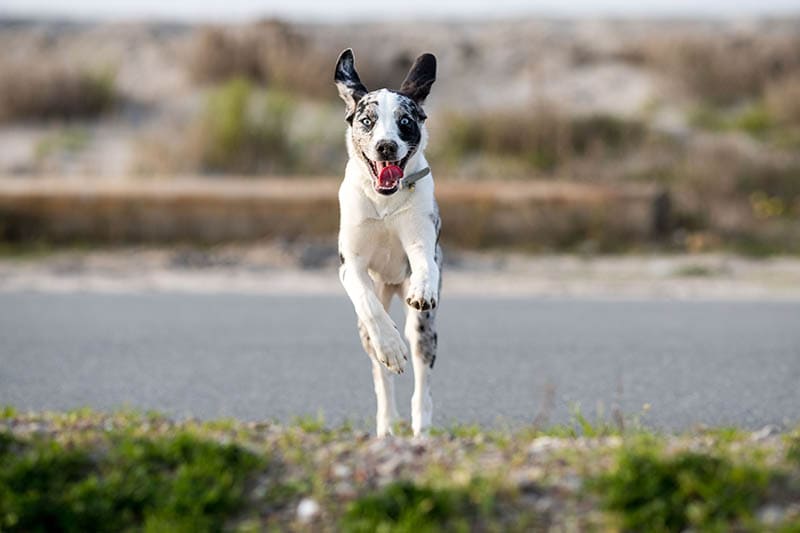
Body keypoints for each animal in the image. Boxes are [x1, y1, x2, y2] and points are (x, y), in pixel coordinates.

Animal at [332, 46, 440, 436]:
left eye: (406, 121)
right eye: (367, 120)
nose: (386, 146)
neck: (385, 203)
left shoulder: (421, 242)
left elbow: (425, 266)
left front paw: (423, 288)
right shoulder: (350, 267)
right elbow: (367, 303)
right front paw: (391, 346)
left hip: (425, 330)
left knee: (422, 379)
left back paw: (421, 428)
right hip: (367, 328)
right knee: (382, 375)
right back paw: (387, 425)